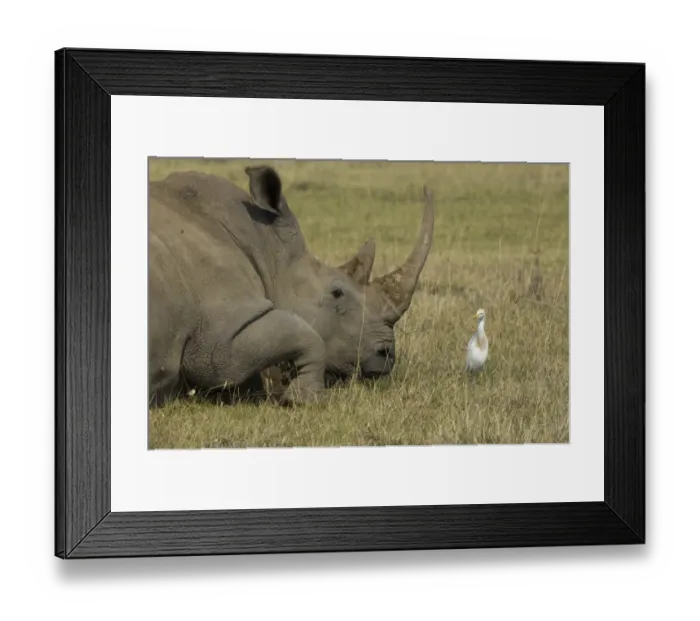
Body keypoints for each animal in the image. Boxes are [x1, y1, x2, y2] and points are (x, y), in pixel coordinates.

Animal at [148, 165, 434, 407]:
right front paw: (305, 399)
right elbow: (309, 338)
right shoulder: (218, 337)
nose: (386, 354)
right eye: (337, 293)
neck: (267, 248)